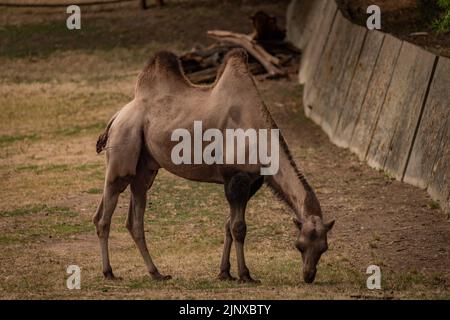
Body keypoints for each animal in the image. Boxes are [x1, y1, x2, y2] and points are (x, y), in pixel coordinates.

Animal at [94, 48, 334, 284]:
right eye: (299, 245)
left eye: (324, 248)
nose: (309, 276)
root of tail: (116, 116)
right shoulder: (235, 177)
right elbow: (238, 228)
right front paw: (245, 275)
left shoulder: (252, 182)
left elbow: (228, 225)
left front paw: (225, 272)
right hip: (124, 147)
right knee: (104, 215)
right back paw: (109, 272)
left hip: (145, 168)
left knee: (134, 218)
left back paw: (157, 273)